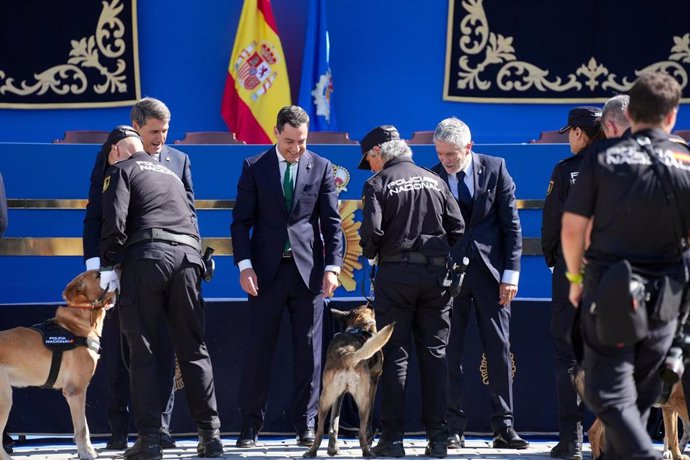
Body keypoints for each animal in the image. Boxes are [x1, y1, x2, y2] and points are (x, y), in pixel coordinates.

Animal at [0, 270, 114, 460]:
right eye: (98, 275)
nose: (119, 267)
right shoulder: (75, 390)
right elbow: (82, 428)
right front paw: (86, 453)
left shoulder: (78, 391)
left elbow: (83, 426)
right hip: (5, 399)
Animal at [302, 304, 392, 458]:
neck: (359, 326)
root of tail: (347, 354)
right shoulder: (374, 381)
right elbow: (369, 418)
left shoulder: (339, 395)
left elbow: (334, 422)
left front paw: (333, 448)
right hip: (362, 400)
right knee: (362, 430)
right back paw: (368, 449)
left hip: (327, 399)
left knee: (321, 430)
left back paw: (314, 451)